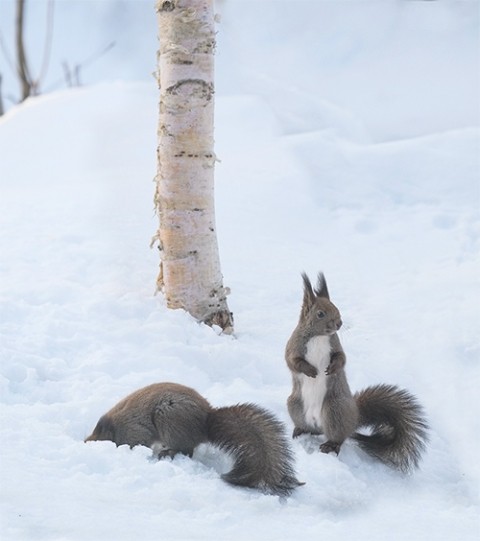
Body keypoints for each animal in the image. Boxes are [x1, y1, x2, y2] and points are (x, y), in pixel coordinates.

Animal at [85, 380, 302, 494]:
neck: (113, 427)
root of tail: (206, 419)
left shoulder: (134, 431)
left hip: (169, 418)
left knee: (186, 449)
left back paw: (168, 452)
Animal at [284, 272, 428, 470]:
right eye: (320, 313)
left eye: (336, 307)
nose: (339, 323)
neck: (319, 337)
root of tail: (353, 418)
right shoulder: (294, 346)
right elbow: (292, 362)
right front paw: (311, 370)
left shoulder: (336, 346)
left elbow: (342, 358)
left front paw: (333, 368)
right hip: (296, 405)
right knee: (313, 430)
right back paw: (301, 430)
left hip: (335, 409)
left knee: (338, 437)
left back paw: (331, 445)